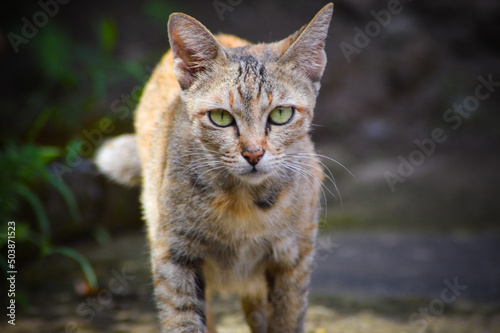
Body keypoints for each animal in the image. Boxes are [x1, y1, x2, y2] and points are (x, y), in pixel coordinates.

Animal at [96, 3, 334, 332]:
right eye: (221, 117)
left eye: (281, 114)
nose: (253, 154)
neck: (243, 204)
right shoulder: (174, 255)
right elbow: (183, 319)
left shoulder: (294, 257)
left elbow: (286, 319)